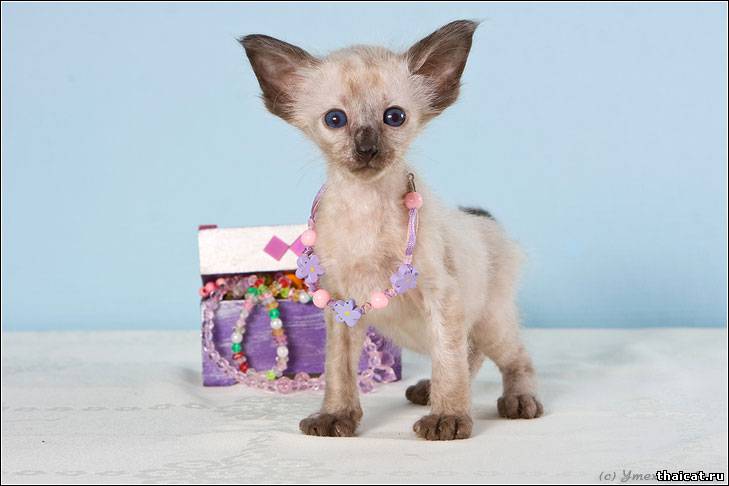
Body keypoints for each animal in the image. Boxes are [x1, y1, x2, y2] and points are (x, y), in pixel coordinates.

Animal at [241, 19, 542, 440]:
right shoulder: (342, 307)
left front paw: (447, 419)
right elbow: (339, 372)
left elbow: (449, 364)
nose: (367, 149)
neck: (366, 208)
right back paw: (428, 389)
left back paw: (518, 400)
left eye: (394, 117)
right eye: (335, 120)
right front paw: (335, 416)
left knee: (512, 357)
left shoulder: (441, 296)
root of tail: (486, 220)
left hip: (489, 321)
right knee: (469, 354)